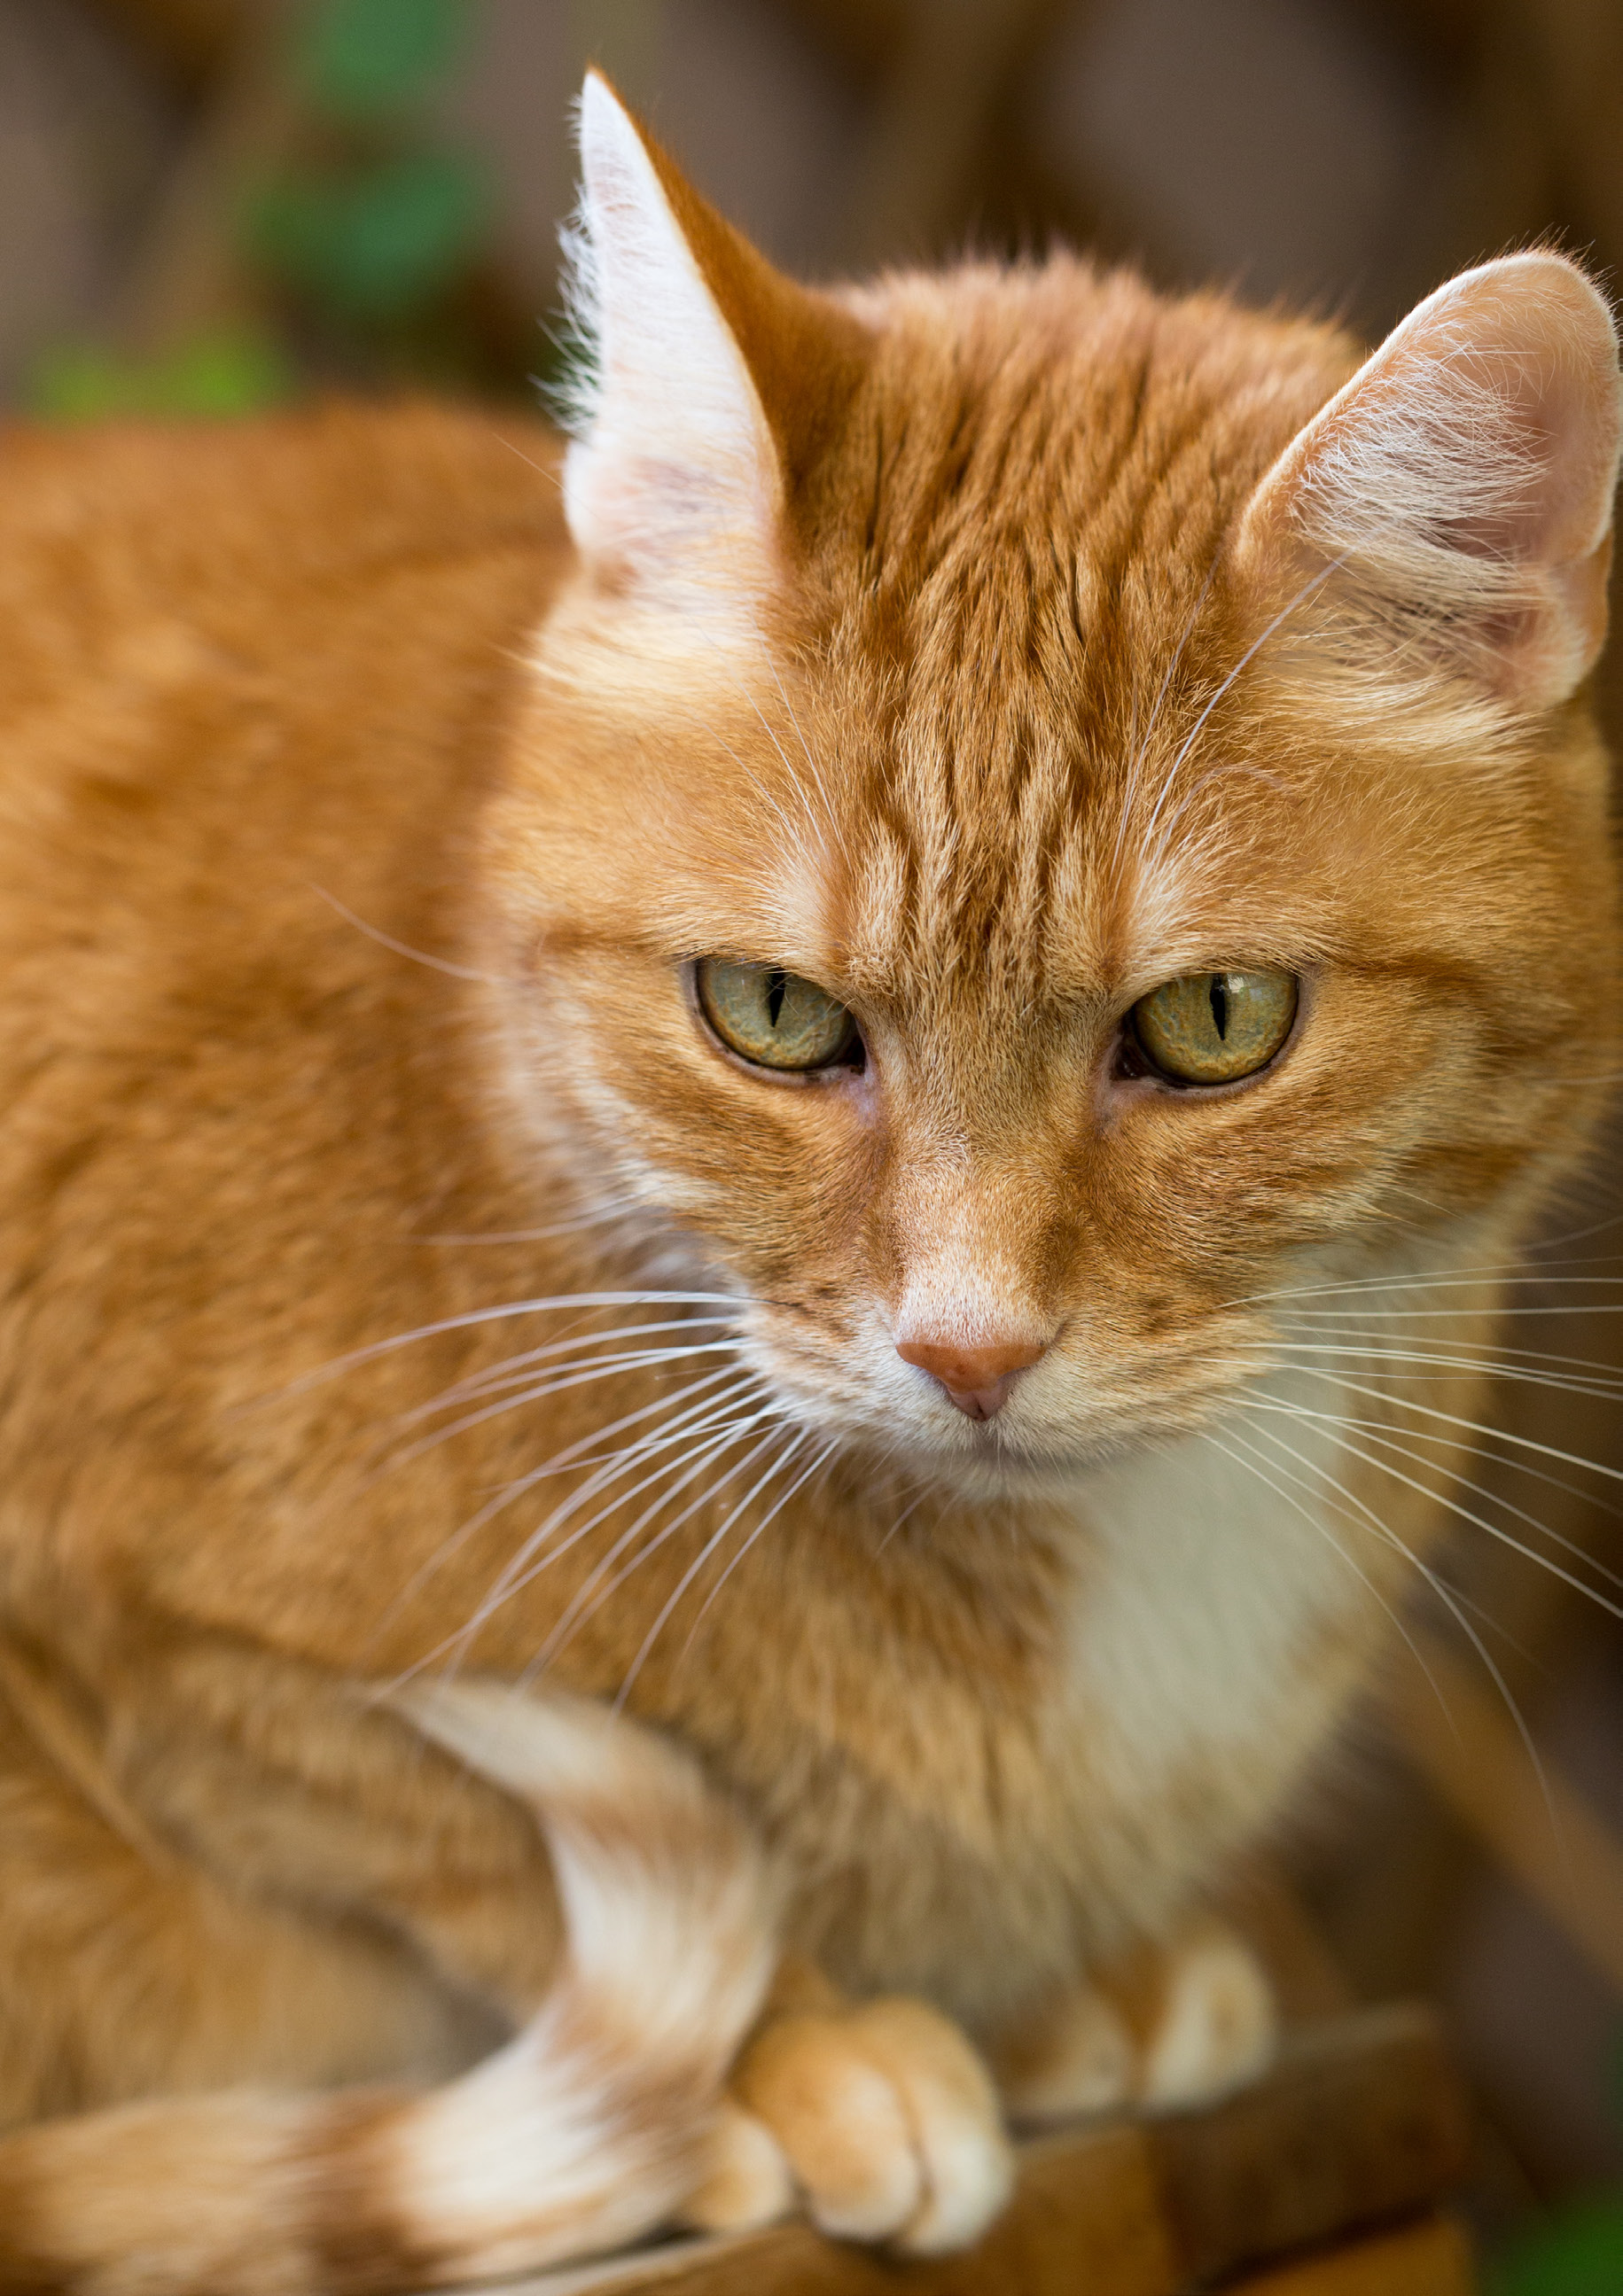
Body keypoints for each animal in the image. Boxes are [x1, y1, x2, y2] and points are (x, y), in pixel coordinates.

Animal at [3, 76, 1623, 2296]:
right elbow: (472, 1826)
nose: (970, 1347)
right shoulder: (138, 1627)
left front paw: (1060, 1989)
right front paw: (793, 2044)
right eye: (771, 1013)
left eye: (1215, 1022)